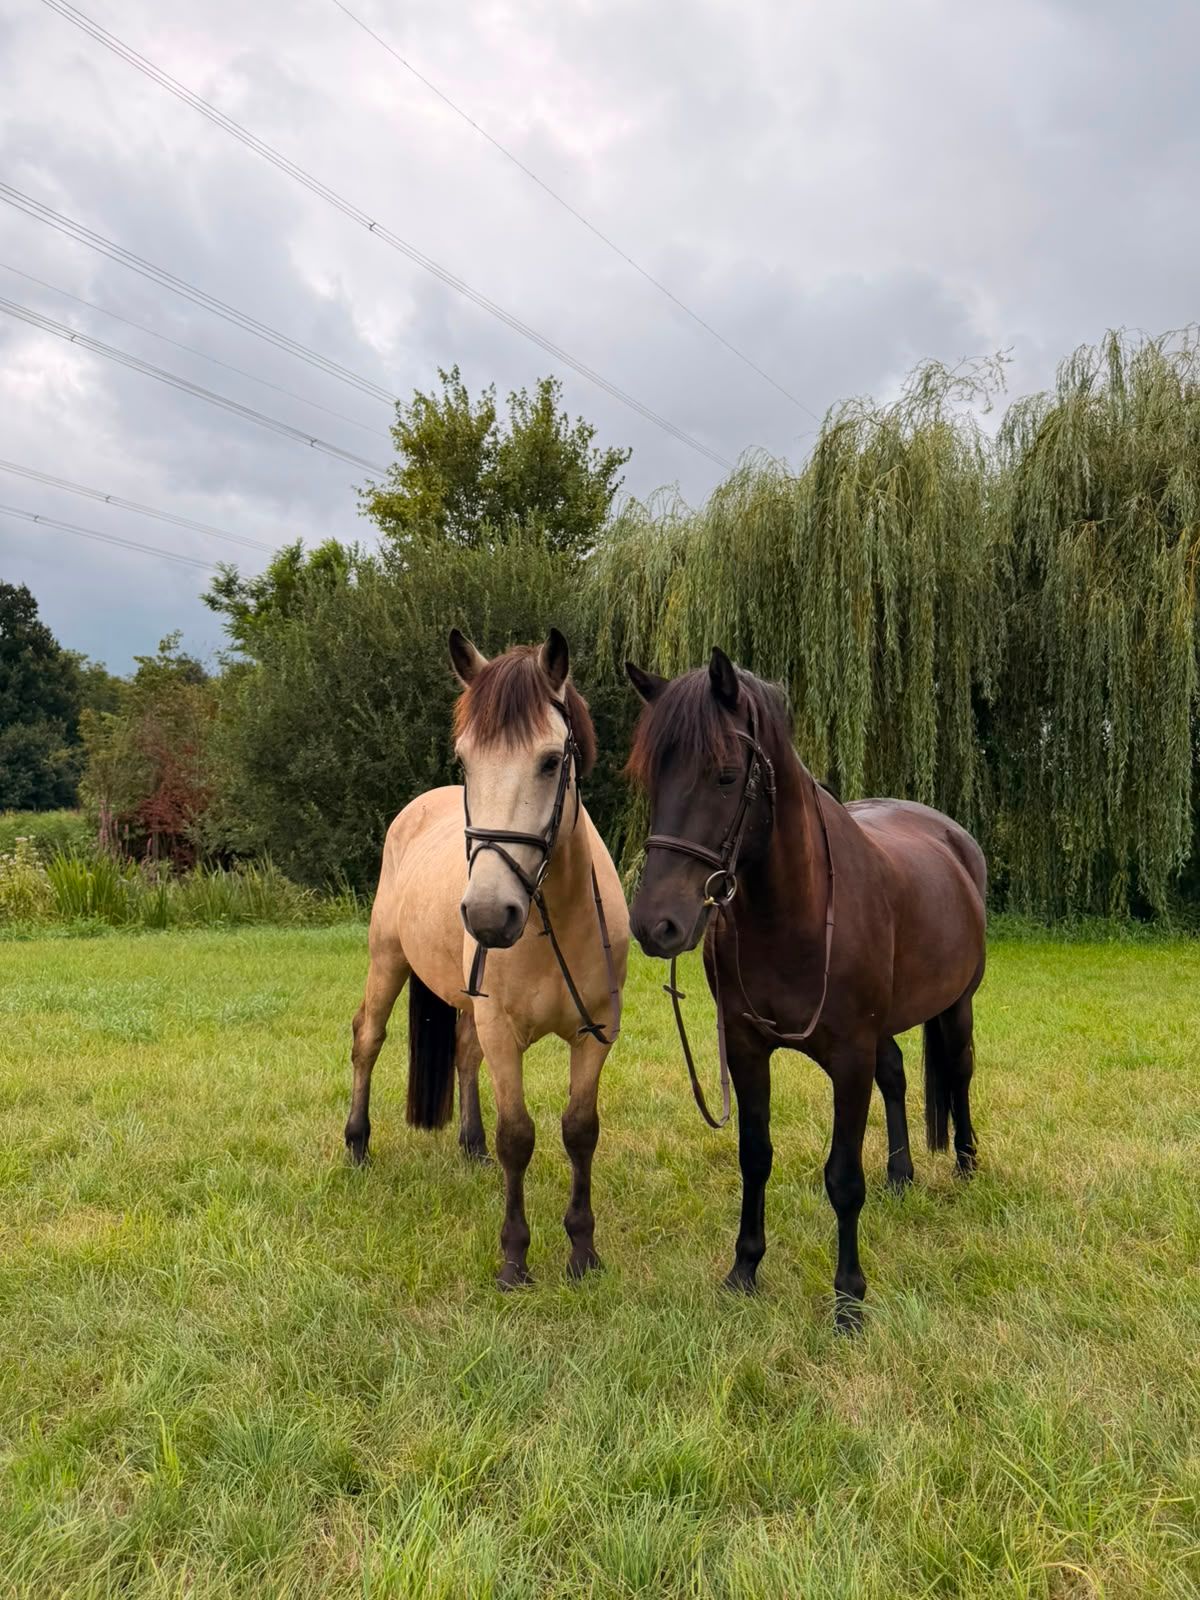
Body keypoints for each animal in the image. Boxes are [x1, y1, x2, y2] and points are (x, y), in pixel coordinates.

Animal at [344, 628, 629, 1287]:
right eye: (466, 760)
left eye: (550, 761)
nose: (488, 915)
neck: (554, 920)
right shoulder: (504, 1033)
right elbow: (518, 1137)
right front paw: (514, 1258)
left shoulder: (596, 1034)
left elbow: (580, 1131)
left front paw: (583, 1251)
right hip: (386, 960)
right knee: (368, 1038)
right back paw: (358, 1145)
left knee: (463, 1052)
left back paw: (469, 1146)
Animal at [624, 648, 986, 1330]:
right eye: (650, 777)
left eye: (726, 775)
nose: (656, 925)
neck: (797, 912)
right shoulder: (746, 1048)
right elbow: (754, 1155)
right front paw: (744, 1270)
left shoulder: (848, 1055)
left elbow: (842, 1177)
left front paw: (848, 1299)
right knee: (897, 1075)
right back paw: (901, 1175)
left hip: (957, 1005)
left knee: (958, 1073)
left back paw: (968, 1165)